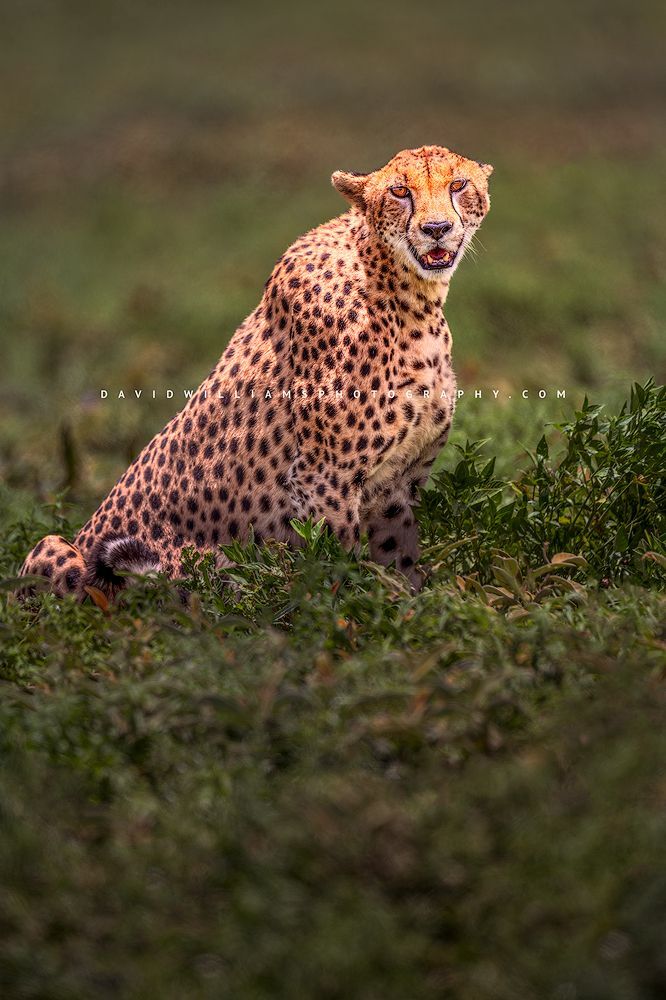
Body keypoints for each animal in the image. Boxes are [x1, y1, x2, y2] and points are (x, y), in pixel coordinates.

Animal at [19, 144, 492, 599]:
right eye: (399, 191)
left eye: (458, 184)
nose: (436, 228)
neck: (410, 295)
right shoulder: (323, 480)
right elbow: (336, 566)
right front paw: (342, 612)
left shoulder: (397, 485)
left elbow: (401, 565)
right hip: (53, 547)